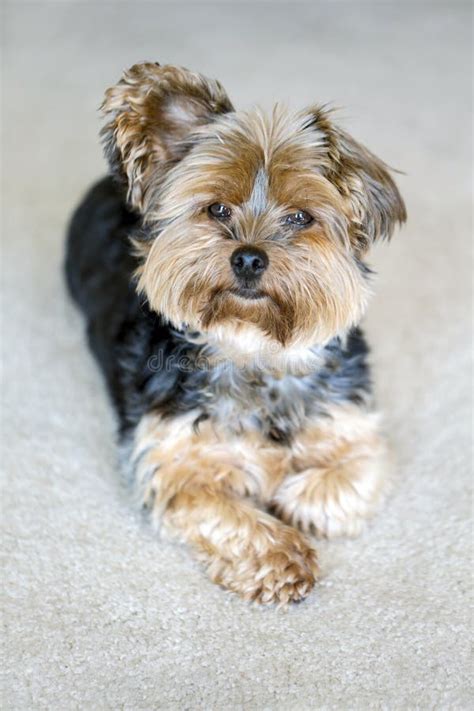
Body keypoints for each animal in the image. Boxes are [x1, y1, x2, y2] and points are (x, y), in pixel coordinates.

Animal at [65, 62, 408, 608]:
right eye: (217, 210)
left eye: (301, 217)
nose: (248, 257)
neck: (254, 348)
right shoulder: (172, 461)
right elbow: (226, 512)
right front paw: (280, 556)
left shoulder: (352, 422)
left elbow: (350, 475)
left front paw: (292, 495)